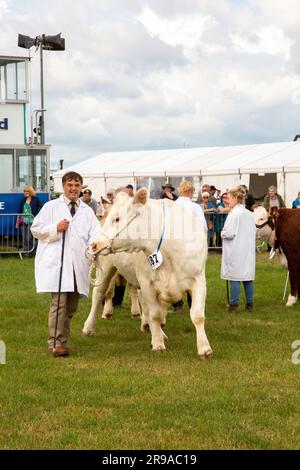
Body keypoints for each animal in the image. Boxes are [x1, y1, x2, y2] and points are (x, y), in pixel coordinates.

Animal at [86, 187, 212, 356]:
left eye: (117, 219)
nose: (94, 244)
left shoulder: (198, 280)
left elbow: (197, 315)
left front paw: (204, 347)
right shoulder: (147, 283)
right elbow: (155, 314)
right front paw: (158, 343)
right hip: (106, 268)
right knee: (99, 294)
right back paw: (89, 327)